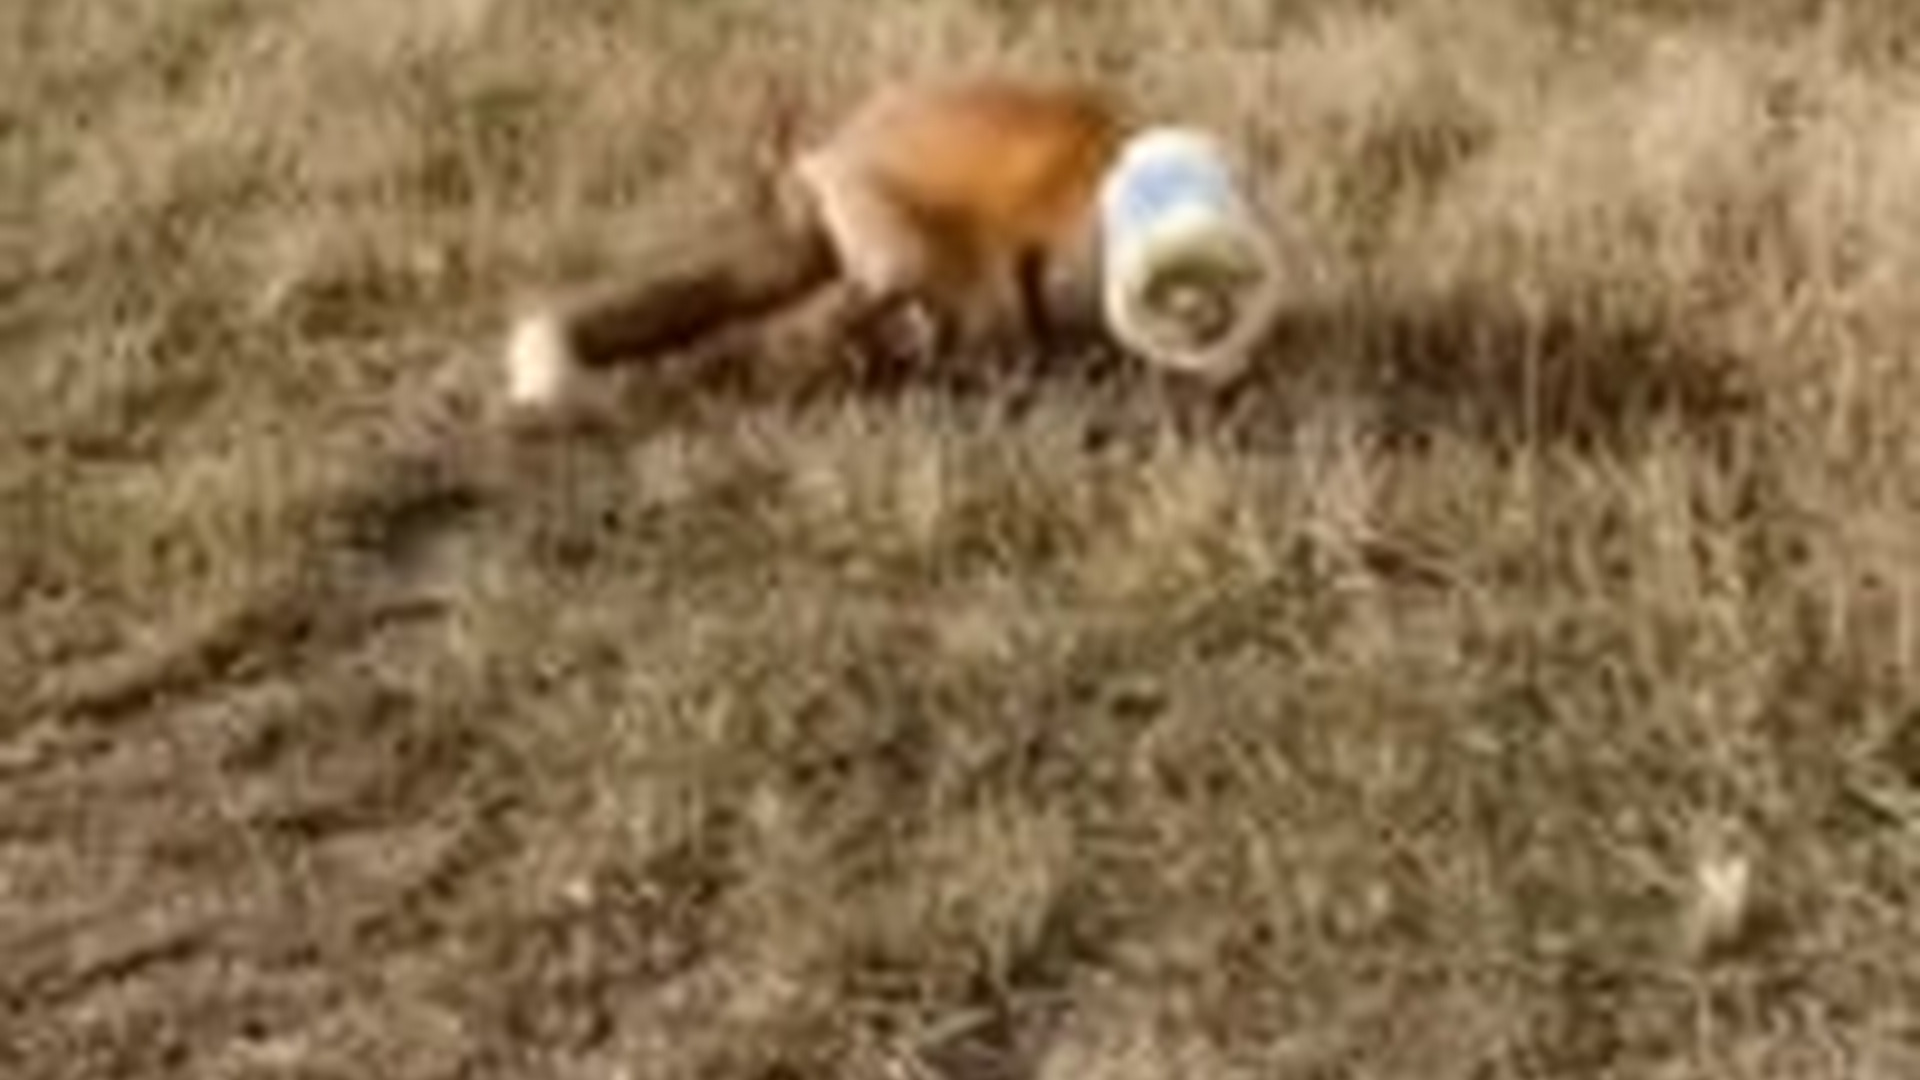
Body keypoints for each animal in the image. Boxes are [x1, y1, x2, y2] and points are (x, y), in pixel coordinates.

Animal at [502, 75, 1132, 415]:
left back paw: (933, 375)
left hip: (926, 268)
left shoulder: (1029, 249)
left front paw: (1050, 359)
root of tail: (814, 162)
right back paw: (875, 378)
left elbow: (1036, 307)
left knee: (924, 323)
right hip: (901, 262)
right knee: (843, 320)